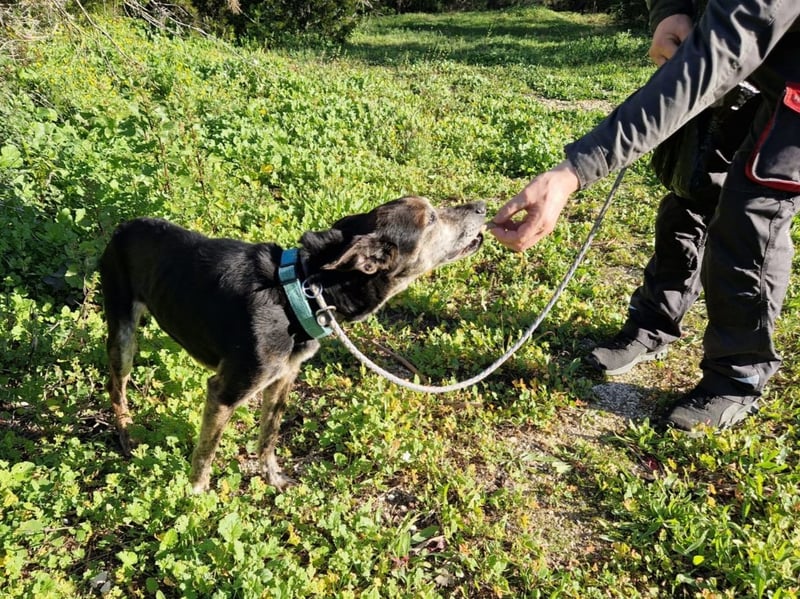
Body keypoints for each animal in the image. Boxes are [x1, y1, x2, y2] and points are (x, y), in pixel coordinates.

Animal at [100, 196, 486, 492]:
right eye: (431, 218)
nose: (482, 206)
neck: (301, 289)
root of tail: (120, 227)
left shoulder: (284, 377)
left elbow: (268, 437)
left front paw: (273, 480)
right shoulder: (224, 392)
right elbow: (206, 452)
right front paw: (194, 498)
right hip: (122, 331)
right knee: (116, 385)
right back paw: (126, 432)